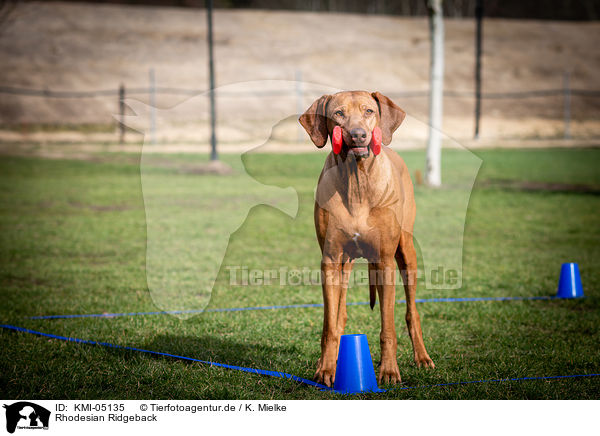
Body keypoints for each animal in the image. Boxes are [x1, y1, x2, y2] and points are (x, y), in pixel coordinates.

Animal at [302, 91, 434, 384]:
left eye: (369, 111)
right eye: (338, 113)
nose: (359, 135)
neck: (357, 182)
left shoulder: (385, 262)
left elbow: (388, 328)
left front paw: (389, 371)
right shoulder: (330, 260)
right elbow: (330, 325)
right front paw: (325, 369)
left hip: (406, 252)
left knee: (412, 312)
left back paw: (422, 357)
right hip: (345, 263)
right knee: (339, 314)